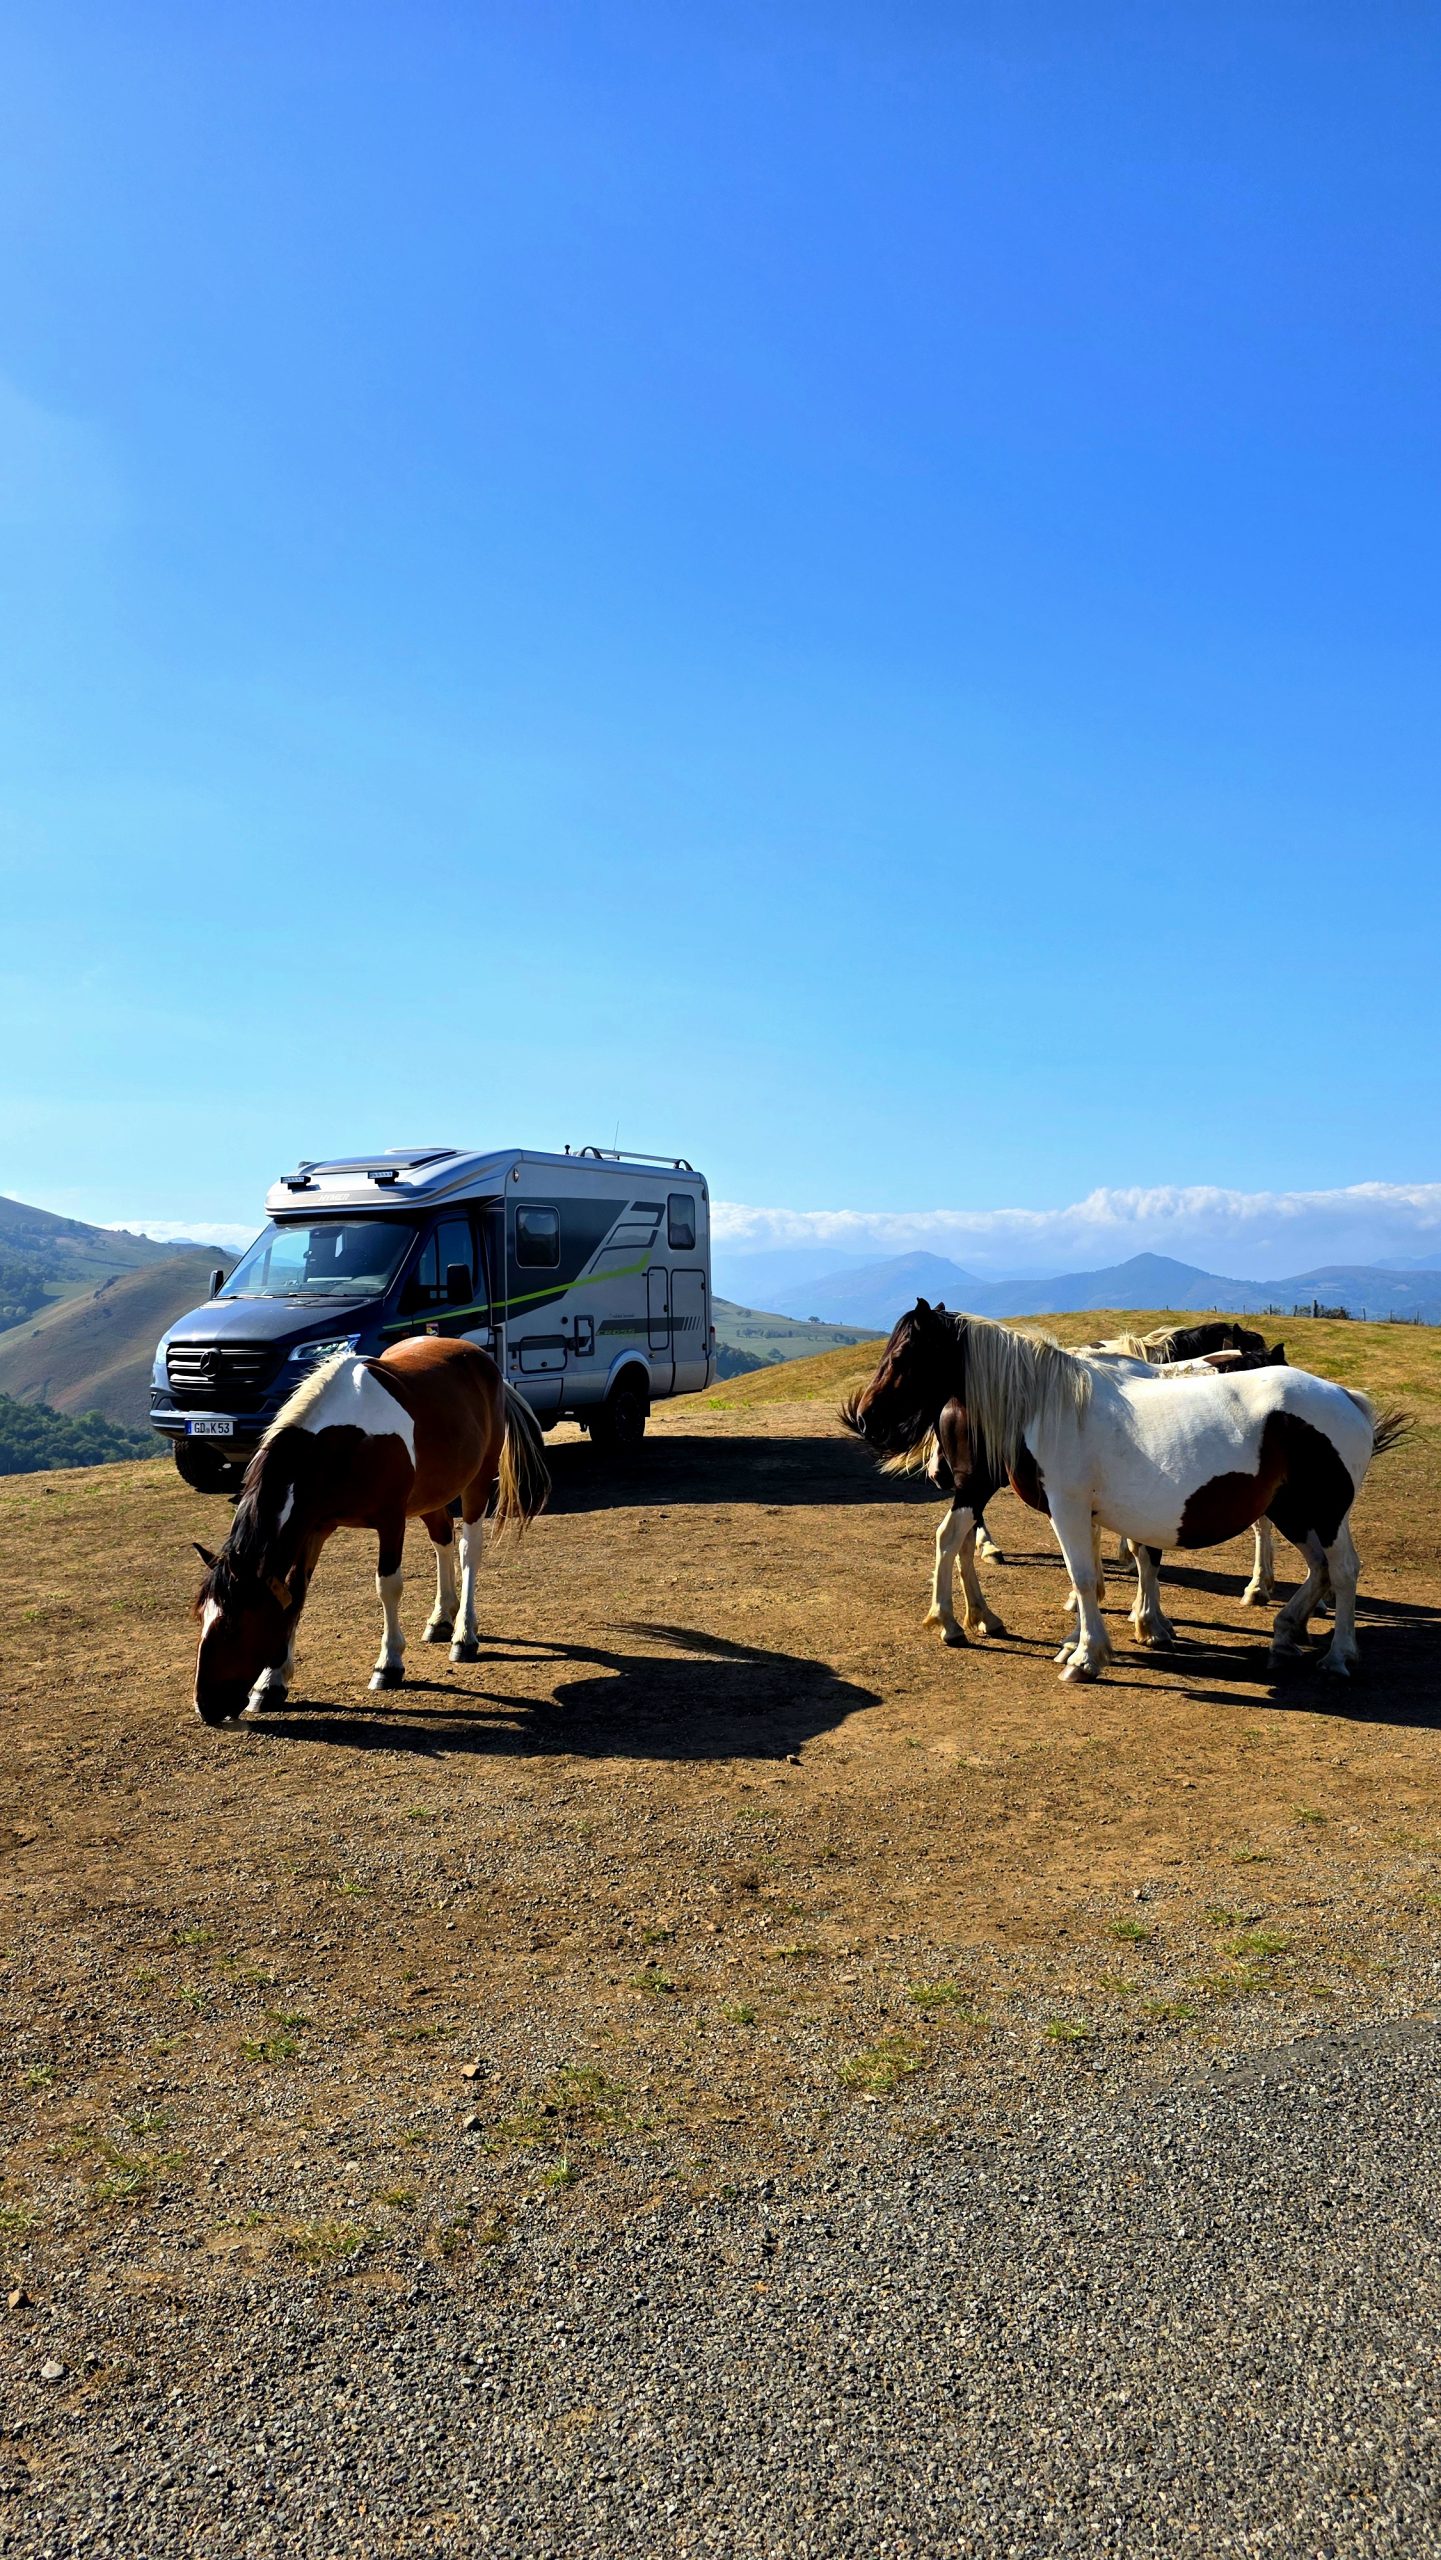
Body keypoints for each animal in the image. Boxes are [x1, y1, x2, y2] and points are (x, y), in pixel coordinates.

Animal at [192, 1337, 550, 1725]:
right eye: (203, 1618)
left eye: (233, 1625)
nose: (206, 1706)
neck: (345, 1440)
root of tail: (480, 1358)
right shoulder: (313, 1528)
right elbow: (295, 1595)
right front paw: (272, 1683)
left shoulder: (390, 1520)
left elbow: (388, 1587)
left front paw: (389, 1664)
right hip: (431, 1495)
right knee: (443, 1539)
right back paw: (442, 1618)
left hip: (477, 1482)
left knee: (469, 1549)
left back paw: (464, 1635)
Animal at [842, 1301, 1406, 1683]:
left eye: (905, 1354)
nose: (867, 1419)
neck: (1049, 1407)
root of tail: (1345, 1397)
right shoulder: (1080, 1512)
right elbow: (1105, 1571)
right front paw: (1099, 1638)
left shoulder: (1070, 1508)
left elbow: (1088, 1575)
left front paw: (1088, 1655)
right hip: (1296, 1512)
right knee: (1320, 1569)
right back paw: (1288, 1631)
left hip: (1323, 1513)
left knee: (1342, 1570)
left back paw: (1338, 1655)